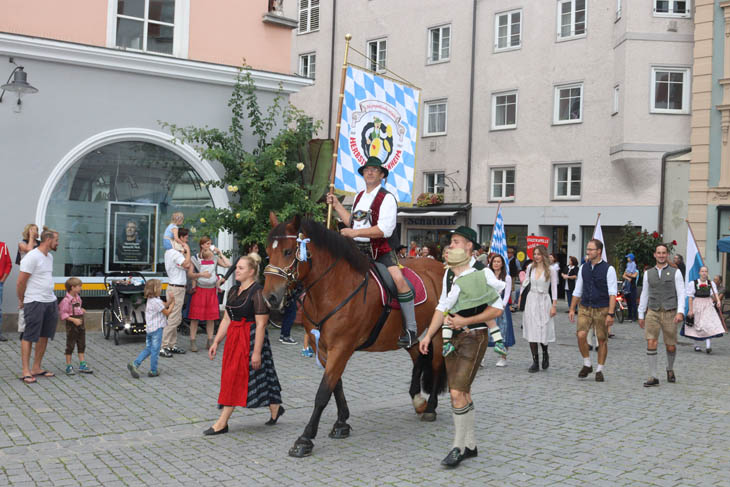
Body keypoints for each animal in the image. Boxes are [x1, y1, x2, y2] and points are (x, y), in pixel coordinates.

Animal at [262, 214, 444, 458]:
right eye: (267, 251)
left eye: (288, 251)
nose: (270, 297)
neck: (333, 288)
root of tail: (440, 265)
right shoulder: (323, 348)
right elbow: (336, 385)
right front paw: (342, 423)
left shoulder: (341, 348)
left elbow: (323, 392)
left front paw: (305, 438)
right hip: (413, 337)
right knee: (418, 358)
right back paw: (418, 400)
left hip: (438, 332)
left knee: (436, 363)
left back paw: (431, 406)